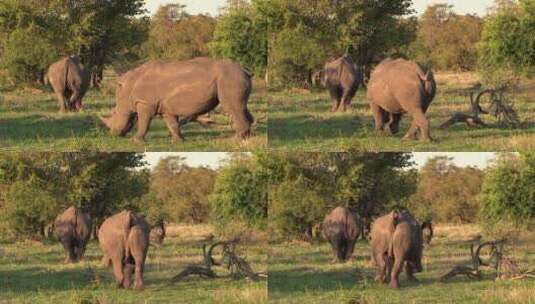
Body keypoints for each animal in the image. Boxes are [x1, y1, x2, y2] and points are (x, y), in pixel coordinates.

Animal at [99, 57, 254, 143]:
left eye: (114, 113)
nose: (113, 134)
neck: (129, 87)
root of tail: (244, 70)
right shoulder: (165, 107)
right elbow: (171, 123)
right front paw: (178, 141)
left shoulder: (145, 103)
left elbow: (144, 122)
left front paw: (136, 141)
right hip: (233, 78)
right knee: (242, 107)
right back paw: (247, 139)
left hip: (230, 78)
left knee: (232, 108)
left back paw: (235, 140)